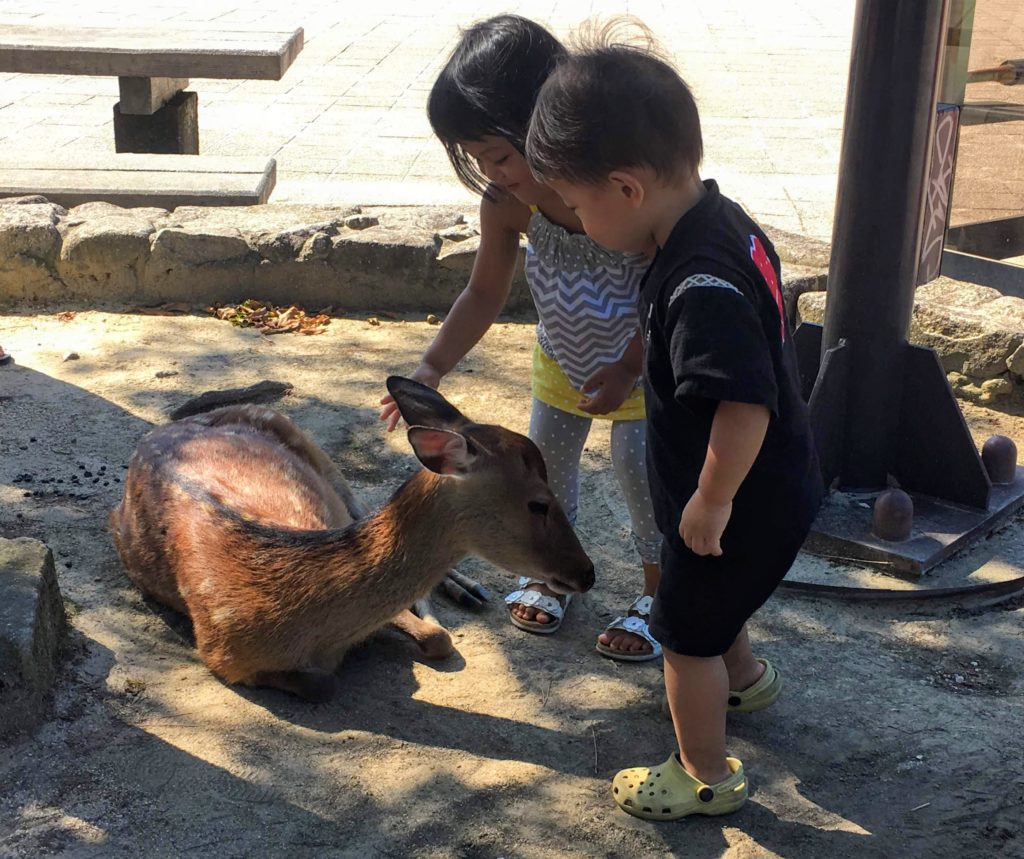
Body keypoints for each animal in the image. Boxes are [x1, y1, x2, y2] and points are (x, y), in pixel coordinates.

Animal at [109, 376, 598, 700]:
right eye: (539, 503)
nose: (587, 573)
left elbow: (437, 638)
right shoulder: (220, 654)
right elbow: (324, 683)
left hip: (314, 451)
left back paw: (469, 588)